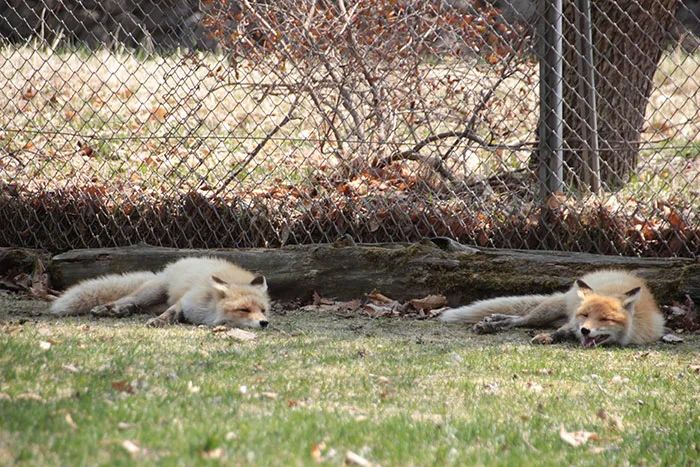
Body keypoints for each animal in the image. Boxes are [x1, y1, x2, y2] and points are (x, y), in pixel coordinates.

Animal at [50, 258, 270, 330]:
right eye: (244, 309)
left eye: (263, 310)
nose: (264, 323)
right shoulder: (186, 301)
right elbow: (171, 313)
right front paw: (158, 323)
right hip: (151, 292)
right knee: (127, 298)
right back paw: (109, 308)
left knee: (136, 306)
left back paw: (123, 311)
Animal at [440, 270, 664, 348]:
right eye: (585, 315)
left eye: (605, 319)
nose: (585, 330)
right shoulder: (573, 322)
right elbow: (561, 332)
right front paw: (547, 337)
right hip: (545, 312)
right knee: (521, 319)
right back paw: (492, 324)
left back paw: (493, 320)